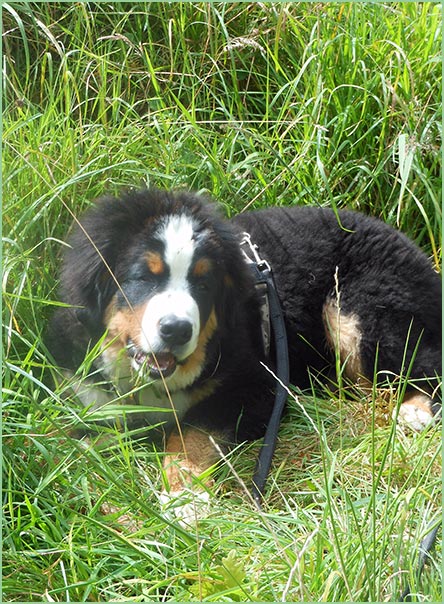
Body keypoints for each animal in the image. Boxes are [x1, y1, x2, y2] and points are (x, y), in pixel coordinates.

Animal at [47, 188, 441, 506]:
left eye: (203, 284)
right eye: (144, 276)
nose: (176, 330)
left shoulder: (253, 387)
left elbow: (190, 434)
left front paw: (185, 499)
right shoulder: (85, 394)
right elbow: (62, 436)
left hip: (358, 309)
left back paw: (414, 411)